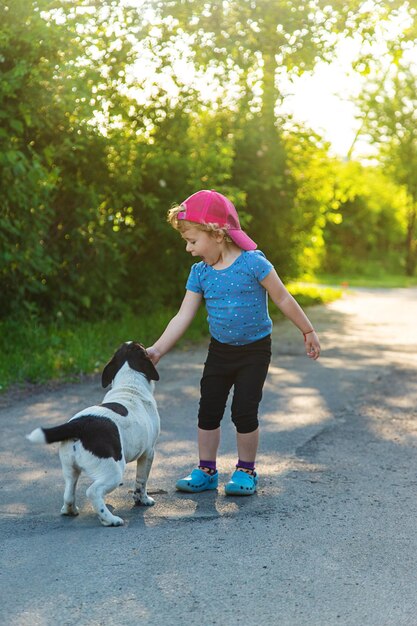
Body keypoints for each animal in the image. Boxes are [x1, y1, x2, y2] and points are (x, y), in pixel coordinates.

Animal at [26, 342, 159, 528]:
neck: (130, 385)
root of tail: (78, 425)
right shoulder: (148, 453)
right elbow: (142, 481)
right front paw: (143, 500)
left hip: (70, 468)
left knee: (69, 492)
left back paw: (70, 510)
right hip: (114, 471)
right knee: (93, 491)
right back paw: (110, 519)